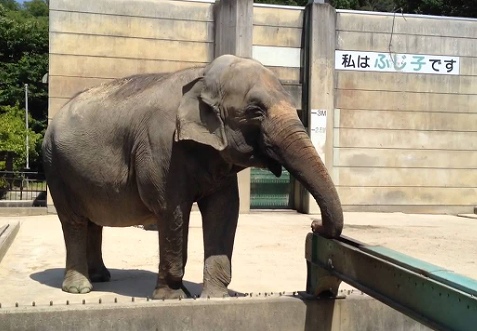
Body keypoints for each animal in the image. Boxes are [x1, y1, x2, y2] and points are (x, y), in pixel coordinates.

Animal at [42, 55, 342, 300]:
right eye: (255, 112)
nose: (314, 224)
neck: (204, 75)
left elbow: (224, 210)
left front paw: (215, 298)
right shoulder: (162, 148)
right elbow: (171, 211)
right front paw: (171, 297)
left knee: (93, 221)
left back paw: (101, 277)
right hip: (56, 168)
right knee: (74, 222)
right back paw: (80, 288)